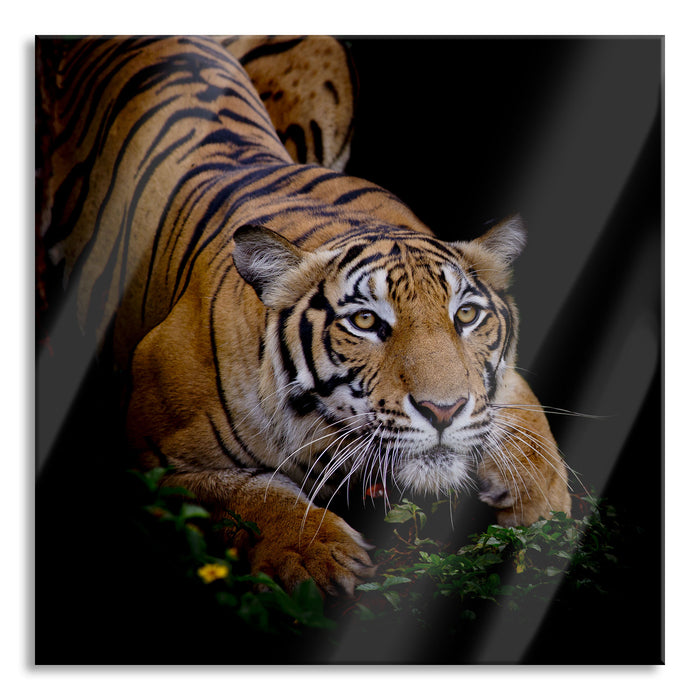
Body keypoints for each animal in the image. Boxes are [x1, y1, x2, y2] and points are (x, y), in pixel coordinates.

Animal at [37, 36, 571, 597]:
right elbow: (249, 496)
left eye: (466, 315)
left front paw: (545, 508)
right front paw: (316, 560)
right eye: (365, 323)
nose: (443, 411)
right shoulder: (157, 463)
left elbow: (527, 419)